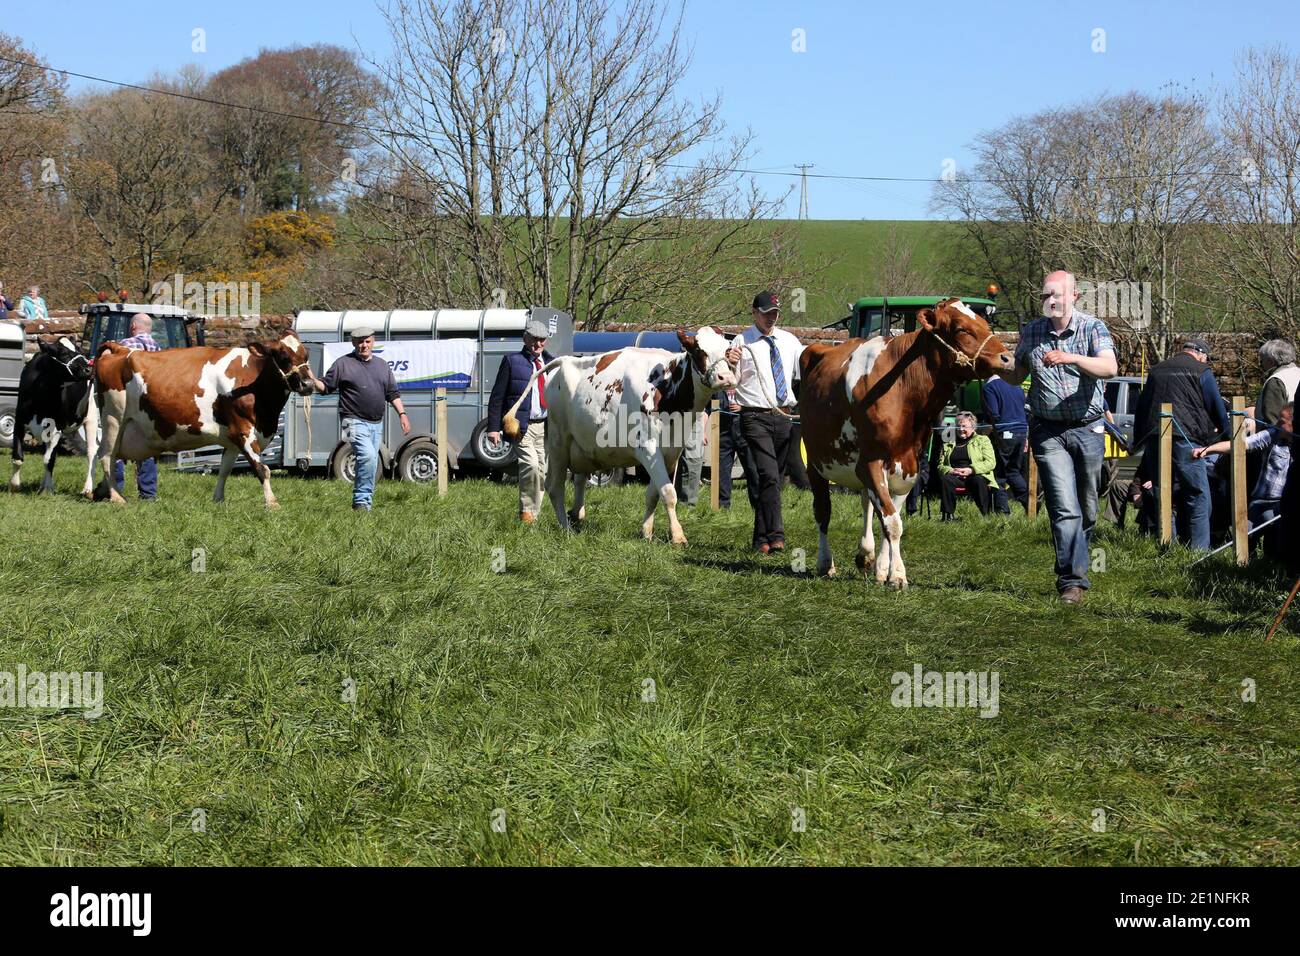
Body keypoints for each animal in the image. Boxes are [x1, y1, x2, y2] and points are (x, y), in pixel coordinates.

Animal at [9, 335, 96, 496]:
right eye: (64, 354)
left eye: (80, 351)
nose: (89, 368)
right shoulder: (19, 421)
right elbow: (18, 457)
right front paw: (15, 485)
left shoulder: (56, 428)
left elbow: (49, 460)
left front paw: (48, 489)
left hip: (91, 418)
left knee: (92, 452)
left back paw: (87, 489)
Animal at [90, 330, 318, 509]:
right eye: (283, 356)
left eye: (306, 355)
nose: (308, 384)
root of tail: (121, 350)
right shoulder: (243, 430)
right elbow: (263, 469)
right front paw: (272, 502)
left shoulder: (232, 438)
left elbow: (224, 470)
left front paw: (218, 499)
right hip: (113, 418)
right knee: (106, 456)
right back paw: (116, 497)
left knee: (107, 456)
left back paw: (100, 491)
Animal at [501, 329, 738, 541]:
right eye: (699, 350)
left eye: (727, 350)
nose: (725, 377)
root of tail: (563, 361)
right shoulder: (648, 447)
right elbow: (669, 493)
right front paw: (678, 536)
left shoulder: (671, 452)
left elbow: (654, 493)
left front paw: (647, 532)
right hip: (559, 441)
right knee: (554, 486)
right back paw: (566, 528)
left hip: (580, 446)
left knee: (578, 480)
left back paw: (576, 514)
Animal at [800, 299, 1013, 587]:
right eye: (961, 328)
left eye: (984, 323)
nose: (1008, 358)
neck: (903, 389)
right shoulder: (871, 462)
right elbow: (892, 522)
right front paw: (898, 574)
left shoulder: (909, 465)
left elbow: (891, 518)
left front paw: (884, 569)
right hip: (815, 461)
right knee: (823, 511)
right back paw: (825, 563)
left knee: (867, 504)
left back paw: (865, 555)